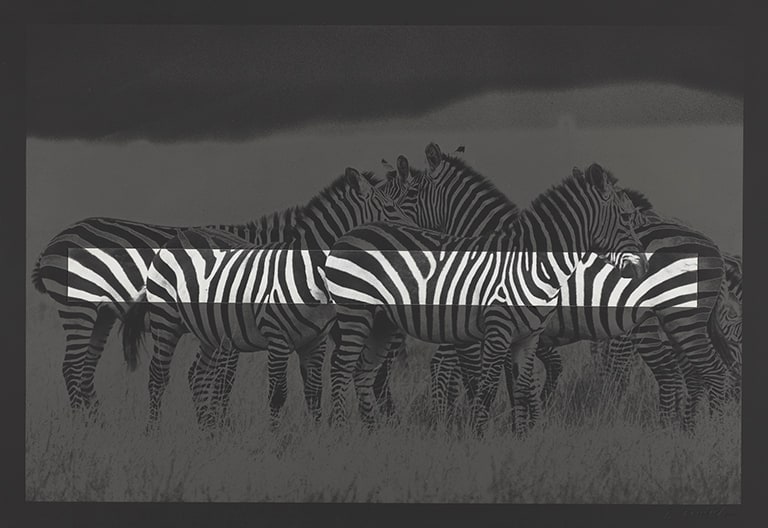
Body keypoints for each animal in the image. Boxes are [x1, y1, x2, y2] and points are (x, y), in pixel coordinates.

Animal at [31, 210, 301, 413]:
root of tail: (56, 239)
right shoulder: (230, 324)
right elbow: (223, 380)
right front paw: (221, 425)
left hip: (102, 315)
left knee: (86, 369)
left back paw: (96, 424)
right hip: (78, 307)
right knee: (72, 368)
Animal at [120, 168, 417, 429]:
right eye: (390, 208)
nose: (416, 238)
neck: (308, 273)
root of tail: (178, 236)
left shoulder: (316, 341)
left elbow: (314, 394)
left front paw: (319, 438)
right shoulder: (278, 339)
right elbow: (277, 396)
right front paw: (276, 442)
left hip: (211, 330)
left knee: (198, 376)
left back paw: (208, 433)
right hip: (166, 321)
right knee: (158, 377)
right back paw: (154, 431)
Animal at [324, 161, 648, 435]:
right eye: (625, 217)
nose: (641, 268)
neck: (530, 263)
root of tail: (353, 232)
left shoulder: (527, 337)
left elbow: (522, 388)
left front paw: (525, 436)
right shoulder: (495, 332)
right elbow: (488, 387)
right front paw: (479, 436)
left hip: (383, 323)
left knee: (362, 373)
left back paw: (373, 434)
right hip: (357, 314)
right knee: (341, 369)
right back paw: (341, 432)